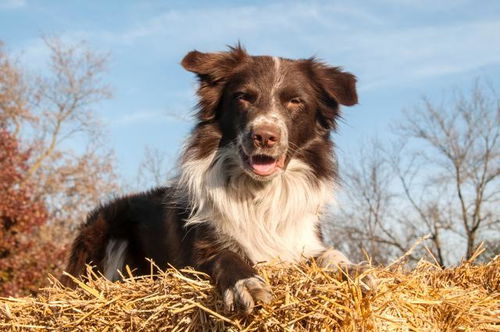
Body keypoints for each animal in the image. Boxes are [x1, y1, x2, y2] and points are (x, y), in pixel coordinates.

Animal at [62, 44, 372, 314]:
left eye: (295, 101)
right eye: (243, 97)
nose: (264, 136)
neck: (261, 194)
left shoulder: (301, 243)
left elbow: (329, 254)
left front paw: (354, 269)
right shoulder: (196, 253)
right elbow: (225, 255)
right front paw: (246, 284)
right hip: (107, 229)